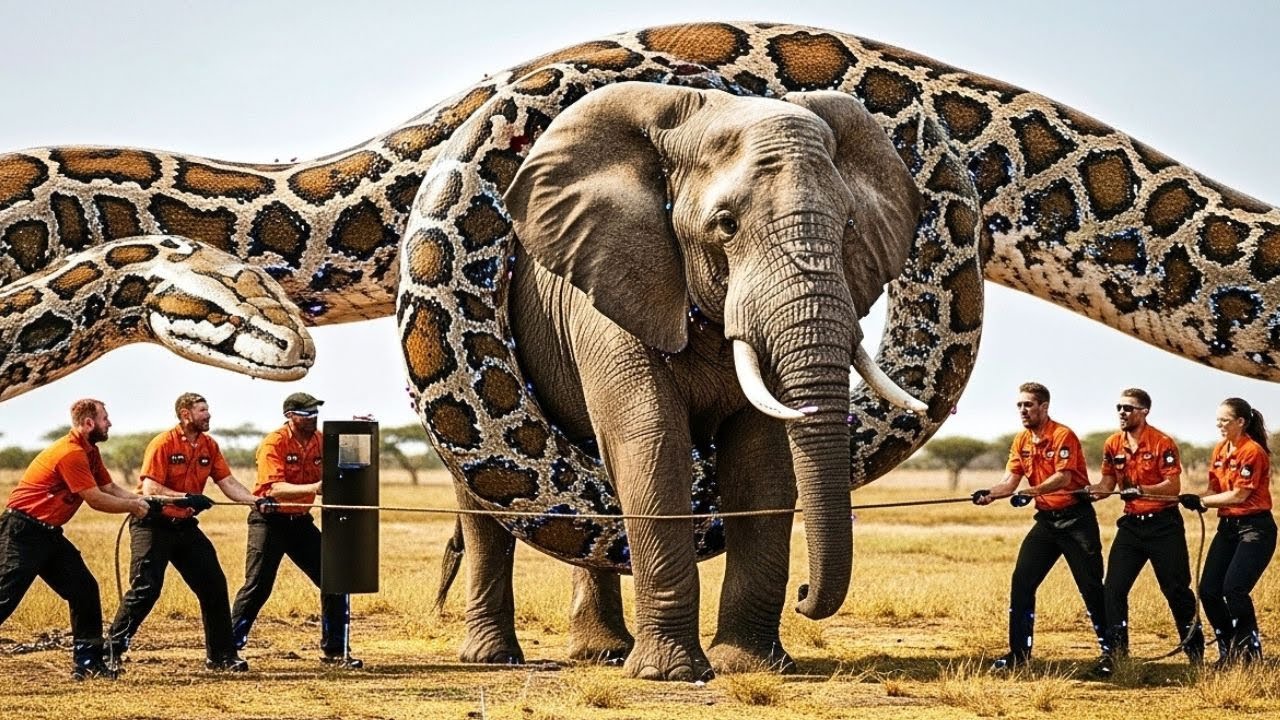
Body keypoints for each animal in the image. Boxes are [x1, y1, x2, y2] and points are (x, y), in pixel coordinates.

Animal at [435, 81, 924, 680]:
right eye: (726, 225)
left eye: (849, 225)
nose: (806, 594)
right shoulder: (610, 278)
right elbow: (651, 437)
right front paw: (670, 674)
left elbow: (762, 458)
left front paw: (749, 665)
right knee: (482, 508)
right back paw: (496, 658)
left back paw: (602, 652)